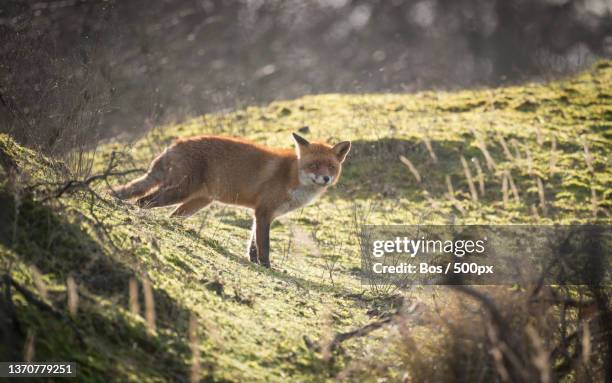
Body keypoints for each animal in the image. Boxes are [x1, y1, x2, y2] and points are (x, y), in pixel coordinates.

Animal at [114, 134, 352, 268]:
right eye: (314, 165)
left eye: (331, 167)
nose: (325, 178)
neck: (292, 176)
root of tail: (174, 144)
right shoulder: (264, 211)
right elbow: (264, 245)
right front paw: (267, 266)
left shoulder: (263, 214)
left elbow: (253, 243)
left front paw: (254, 262)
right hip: (179, 192)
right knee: (142, 202)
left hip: (196, 202)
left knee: (170, 215)